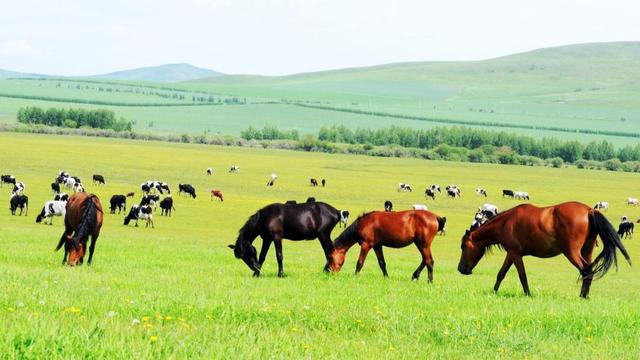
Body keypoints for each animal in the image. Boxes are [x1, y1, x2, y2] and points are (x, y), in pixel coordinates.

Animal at [458, 202, 632, 298]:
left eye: (463, 247)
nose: (460, 269)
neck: (506, 222)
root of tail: (589, 210)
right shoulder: (511, 253)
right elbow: (501, 274)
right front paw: (493, 292)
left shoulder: (515, 254)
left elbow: (522, 276)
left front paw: (528, 295)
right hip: (586, 250)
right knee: (588, 270)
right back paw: (585, 295)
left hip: (571, 252)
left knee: (586, 270)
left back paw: (582, 296)